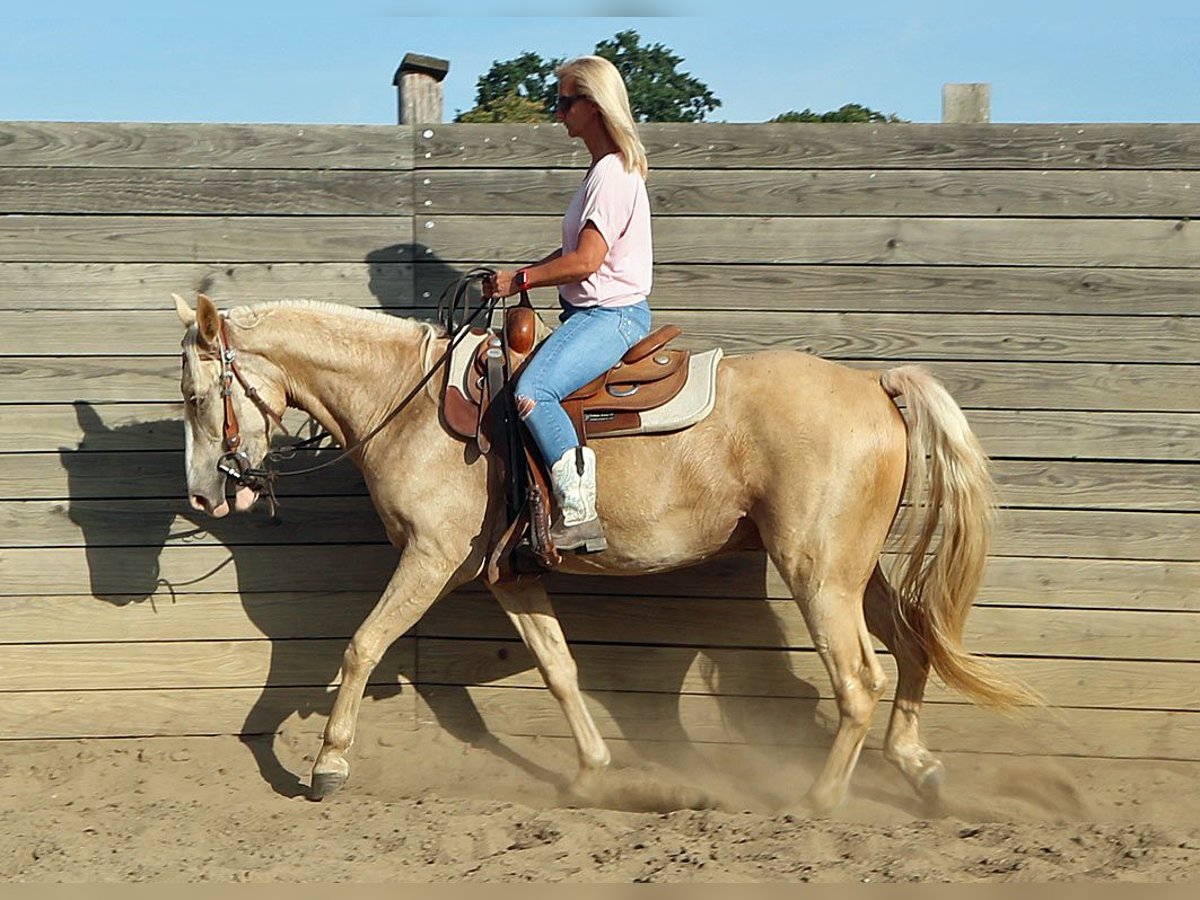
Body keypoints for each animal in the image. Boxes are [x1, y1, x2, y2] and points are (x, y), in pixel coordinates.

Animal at [174, 292, 1036, 816]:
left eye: (194, 394)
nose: (205, 496)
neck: (409, 405)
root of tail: (873, 383)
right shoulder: (506, 577)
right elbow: (560, 668)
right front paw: (592, 774)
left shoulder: (430, 558)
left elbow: (361, 645)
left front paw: (328, 766)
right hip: (855, 571)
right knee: (914, 645)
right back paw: (917, 766)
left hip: (818, 574)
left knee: (860, 678)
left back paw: (817, 802)